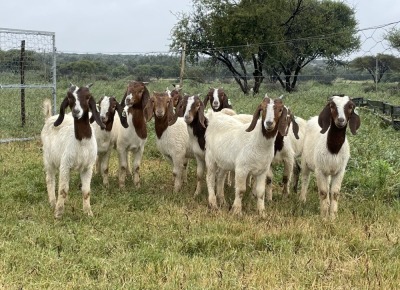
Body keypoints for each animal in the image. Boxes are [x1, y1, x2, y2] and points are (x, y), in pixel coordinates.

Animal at [41, 83, 104, 218]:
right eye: (70, 97)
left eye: (87, 97)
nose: (76, 111)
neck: (82, 142)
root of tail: (49, 118)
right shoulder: (65, 164)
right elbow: (63, 190)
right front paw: (58, 213)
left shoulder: (88, 167)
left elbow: (86, 191)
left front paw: (88, 212)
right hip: (48, 159)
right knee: (50, 179)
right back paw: (53, 203)